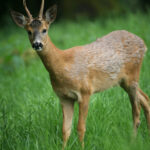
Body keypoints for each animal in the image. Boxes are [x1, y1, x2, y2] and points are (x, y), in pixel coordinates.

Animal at [10, 0, 150, 149]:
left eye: (44, 30)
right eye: (28, 31)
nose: (37, 44)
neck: (63, 65)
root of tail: (143, 43)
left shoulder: (85, 91)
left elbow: (80, 128)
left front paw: (82, 146)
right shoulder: (64, 97)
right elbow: (65, 129)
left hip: (133, 75)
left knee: (136, 111)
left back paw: (133, 141)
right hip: (123, 81)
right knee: (145, 99)